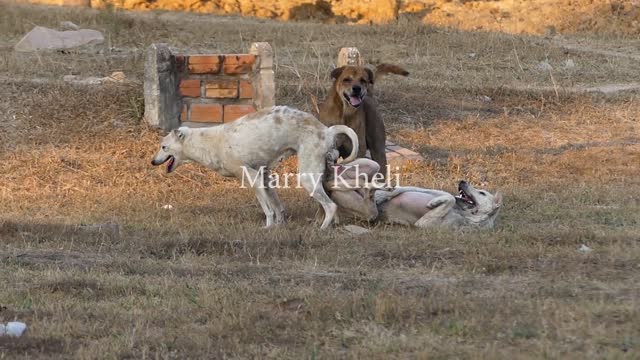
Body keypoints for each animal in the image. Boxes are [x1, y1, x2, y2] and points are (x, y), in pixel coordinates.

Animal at [151, 105, 360, 228]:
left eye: (163, 147)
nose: (152, 162)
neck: (209, 142)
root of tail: (326, 130)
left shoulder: (253, 179)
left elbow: (268, 210)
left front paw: (268, 227)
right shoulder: (265, 178)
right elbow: (278, 207)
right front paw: (279, 226)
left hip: (307, 178)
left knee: (331, 206)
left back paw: (322, 228)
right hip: (321, 177)